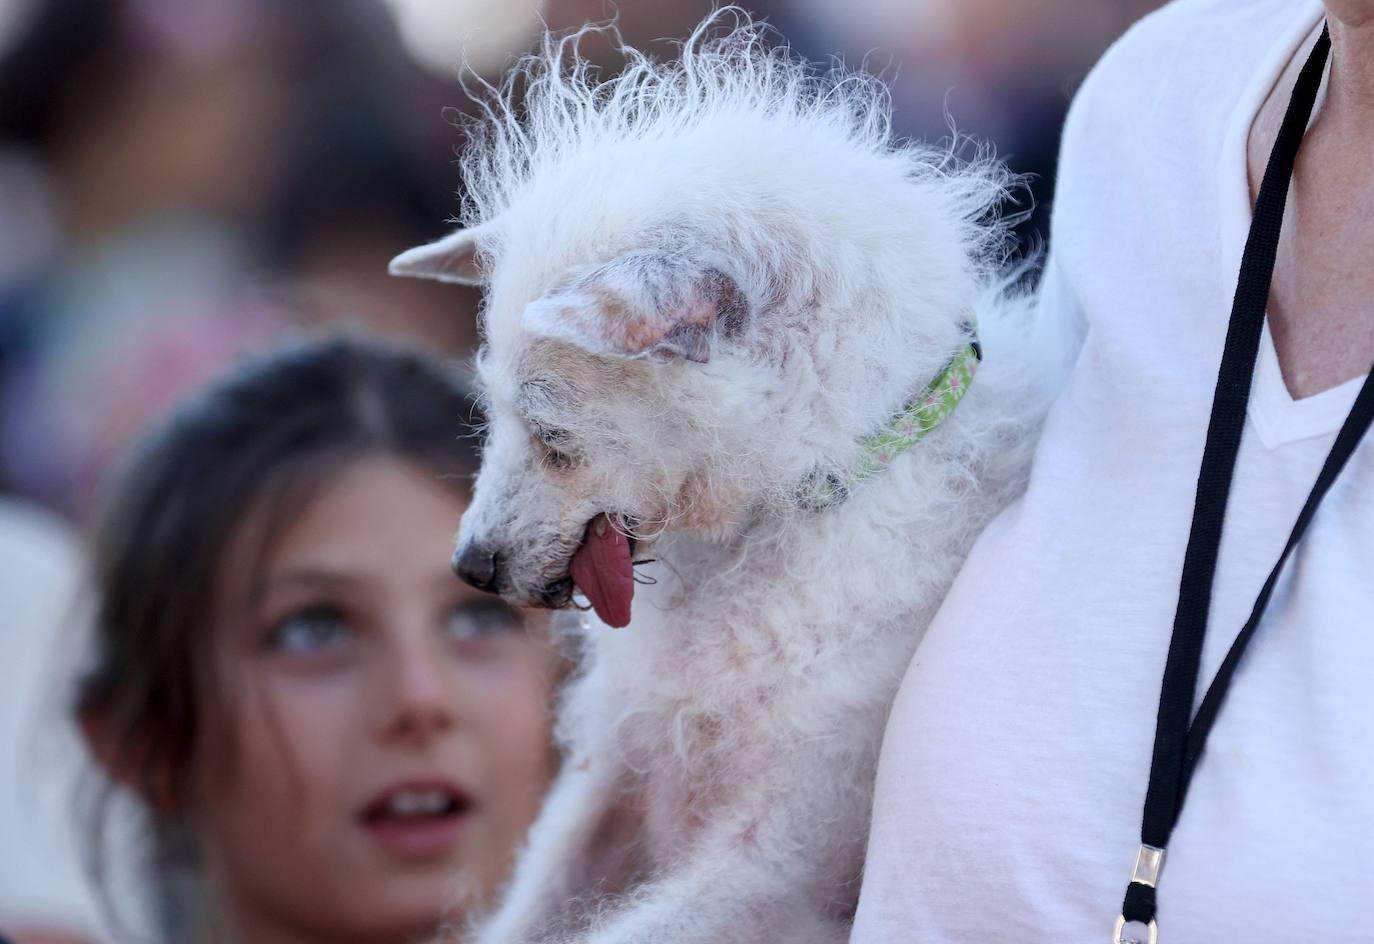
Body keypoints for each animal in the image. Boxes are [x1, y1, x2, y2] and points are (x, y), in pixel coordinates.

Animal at [392, 11, 1055, 939]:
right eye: (493, 413)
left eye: (553, 436)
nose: (470, 567)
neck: (796, 505)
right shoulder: (607, 784)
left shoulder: (772, 864)